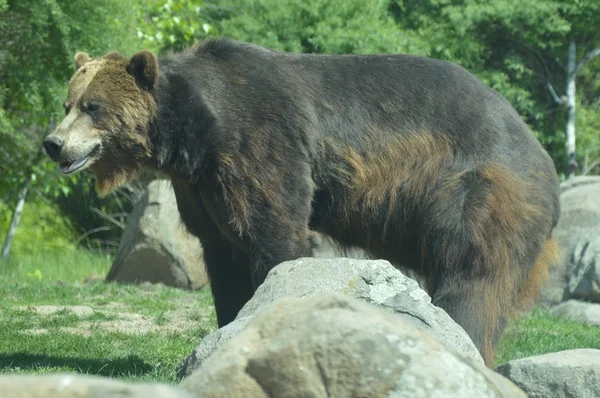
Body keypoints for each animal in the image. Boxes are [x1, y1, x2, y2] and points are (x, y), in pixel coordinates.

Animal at [43, 38, 564, 366]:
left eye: (93, 107)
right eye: (68, 102)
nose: (53, 143)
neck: (192, 132)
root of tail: (542, 154)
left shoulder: (261, 138)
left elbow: (274, 230)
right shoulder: (202, 185)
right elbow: (222, 252)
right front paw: (228, 324)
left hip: (477, 190)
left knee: (471, 279)